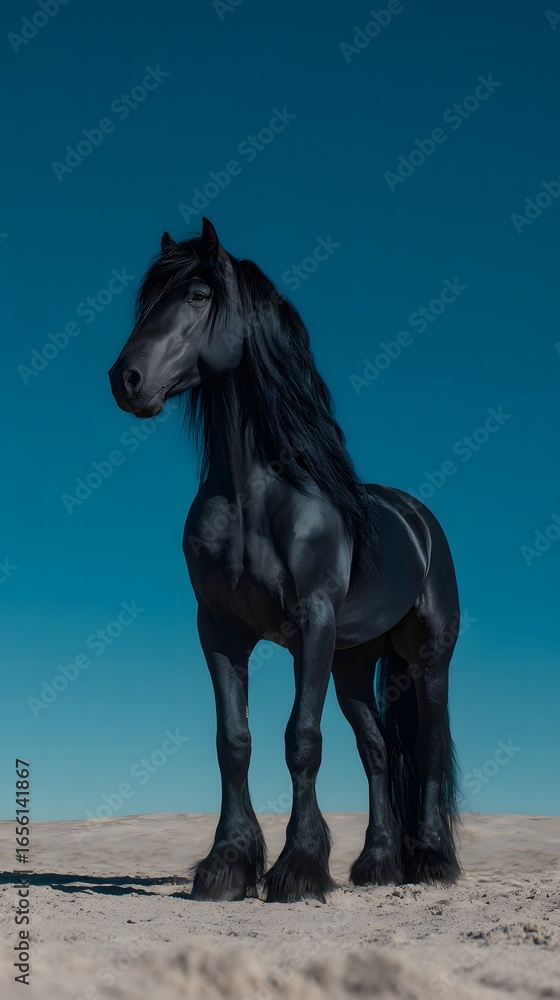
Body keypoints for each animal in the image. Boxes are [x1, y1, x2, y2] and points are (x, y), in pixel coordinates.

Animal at [109, 218, 462, 903]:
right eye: (147, 302)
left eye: (198, 295)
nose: (125, 380)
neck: (257, 498)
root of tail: (419, 519)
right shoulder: (220, 630)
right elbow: (234, 740)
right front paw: (227, 864)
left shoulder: (312, 625)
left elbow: (302, 738)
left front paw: (298, 867)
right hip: (353, 662)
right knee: (378, 750)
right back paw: (376, 865)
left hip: (425, 657)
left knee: (427, 744)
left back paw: (433, 860)